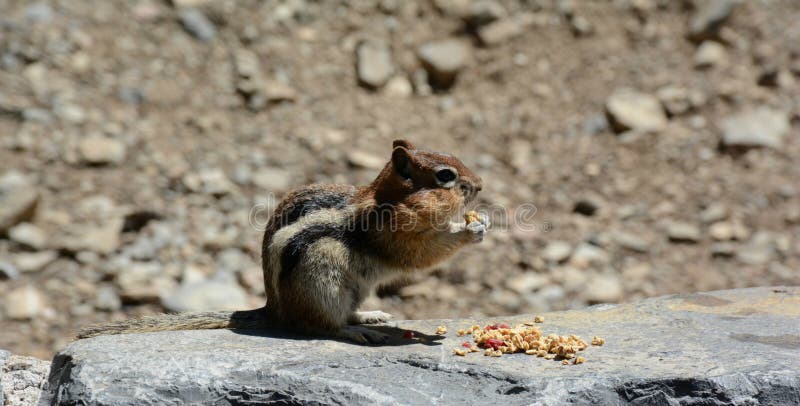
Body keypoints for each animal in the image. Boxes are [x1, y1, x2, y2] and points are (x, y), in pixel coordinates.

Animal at [79, 140, 488, 342]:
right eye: (446, 176)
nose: (481, 185)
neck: (385, 200)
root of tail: (274, 310)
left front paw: (481, 221)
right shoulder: (395, 234)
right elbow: (422, 254)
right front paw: (468, 230)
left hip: (353, 288)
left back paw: (369, 315)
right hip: (323, 276)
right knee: (318, 326)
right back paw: (356, 331)